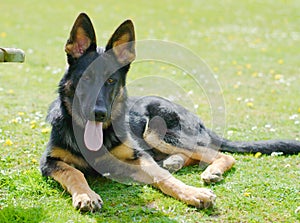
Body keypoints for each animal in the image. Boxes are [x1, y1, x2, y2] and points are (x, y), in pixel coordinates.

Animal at [40, 13, 300, 212]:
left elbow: (163, 178)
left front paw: (193, 193)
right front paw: (86, 195)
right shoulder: (49, 162)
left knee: (219, 154)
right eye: (86, 79)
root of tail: (196, 118)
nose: (99, 113)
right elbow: (74, 172)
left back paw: (209, 169)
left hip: (158, 133)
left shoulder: (139, 156)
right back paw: (175, 161)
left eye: (111, 80)